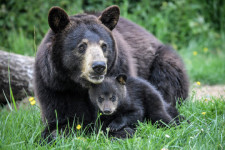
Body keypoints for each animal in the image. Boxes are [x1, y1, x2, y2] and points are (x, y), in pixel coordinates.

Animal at [34, 5, 189, 140]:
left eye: (104, 45)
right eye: (82, 46)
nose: (99, 66)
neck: (80, 86)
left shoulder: (121, 71)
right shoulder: (55, 86)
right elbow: (59, 119)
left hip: (162, 61)